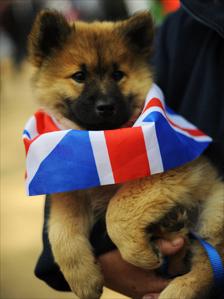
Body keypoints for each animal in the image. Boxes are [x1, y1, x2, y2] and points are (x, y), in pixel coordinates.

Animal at [28, 9, 224, 299]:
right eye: (79, 76)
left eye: (118, 74)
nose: (105, 106)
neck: (99, 140)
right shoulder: (69, 192)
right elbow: (61, 233)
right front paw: (83, 279)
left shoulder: (174, 171)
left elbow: (118, 208)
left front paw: (139, 253)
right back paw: (170, 225)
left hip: (214, 212)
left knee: (208, 264)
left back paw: (177, 289)